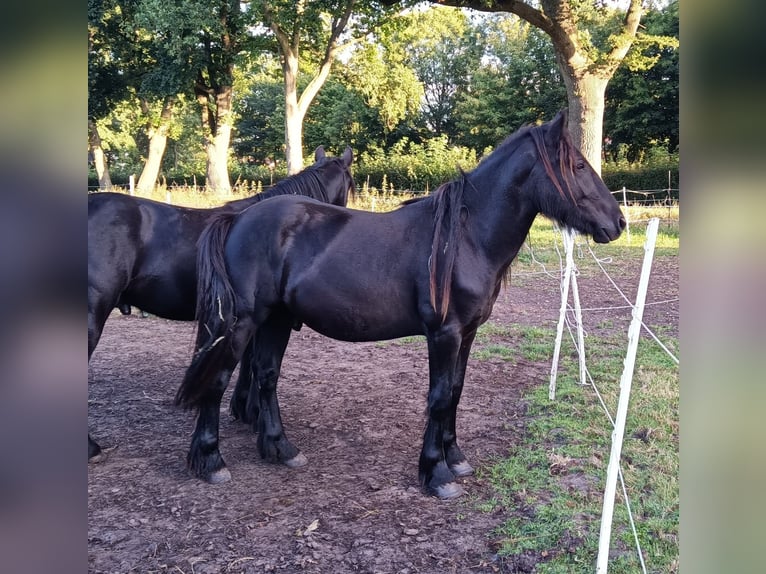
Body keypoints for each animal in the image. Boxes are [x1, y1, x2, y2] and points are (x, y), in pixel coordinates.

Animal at [175, 111, 626, 498]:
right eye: (578, 166)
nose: (618, 223)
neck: (465, 239)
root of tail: (238, 219)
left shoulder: (467, 334)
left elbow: (456, 391)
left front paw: (455, 458)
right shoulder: (444, 335)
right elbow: (439, 397)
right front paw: (436, 473)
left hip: (277, 320)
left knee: (266, 377)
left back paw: (281, 449)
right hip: (242, 323)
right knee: (216, 381)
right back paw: (211, 461)